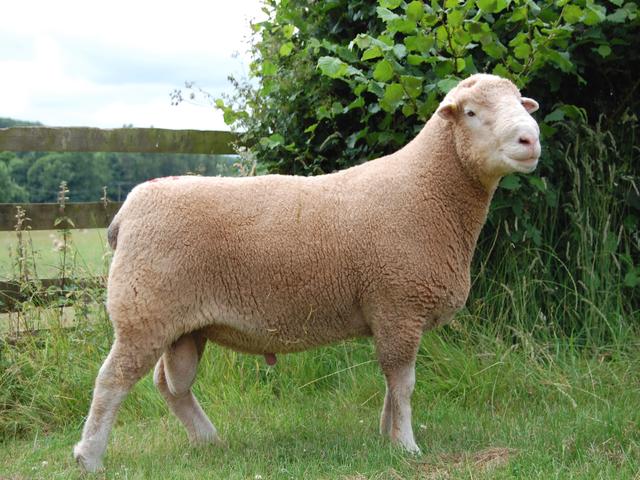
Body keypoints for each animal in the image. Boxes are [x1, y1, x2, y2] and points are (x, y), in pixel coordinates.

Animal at [73, 73, 541, 472]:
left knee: (171, 385)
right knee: (112, 382)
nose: (530, 138)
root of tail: (125, 213)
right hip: (143, 311)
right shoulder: (398, 305)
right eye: (471, 112)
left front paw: (386, 437)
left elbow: (391, 385)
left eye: (520, 102)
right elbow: (404, 384)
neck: (427, 190)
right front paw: (407, 446)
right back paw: (89, 457)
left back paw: (209, 440)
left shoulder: (390, 314)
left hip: (183, 325)